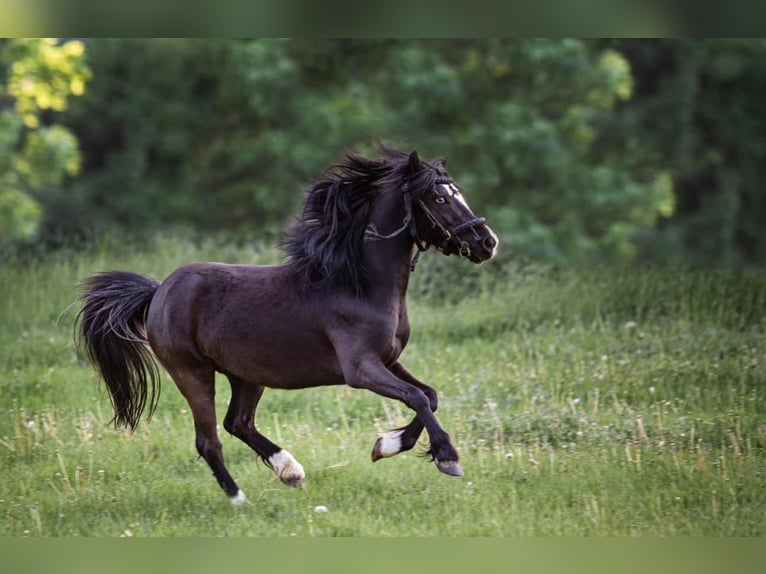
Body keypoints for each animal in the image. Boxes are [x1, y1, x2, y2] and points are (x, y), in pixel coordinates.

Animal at [76, 146, 498, 506]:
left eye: (457, 193)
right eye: (440, 199)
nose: (487, 242)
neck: (356, 283)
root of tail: (159, 290)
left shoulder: (388, 359)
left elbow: (429, 394)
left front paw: (386, 445)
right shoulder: (360, 368)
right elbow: (416, 397)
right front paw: (447, 457)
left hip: (246, 375)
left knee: (238, 423)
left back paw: (290, 470)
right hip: (192, 373)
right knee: (209, 440)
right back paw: (239, 499)